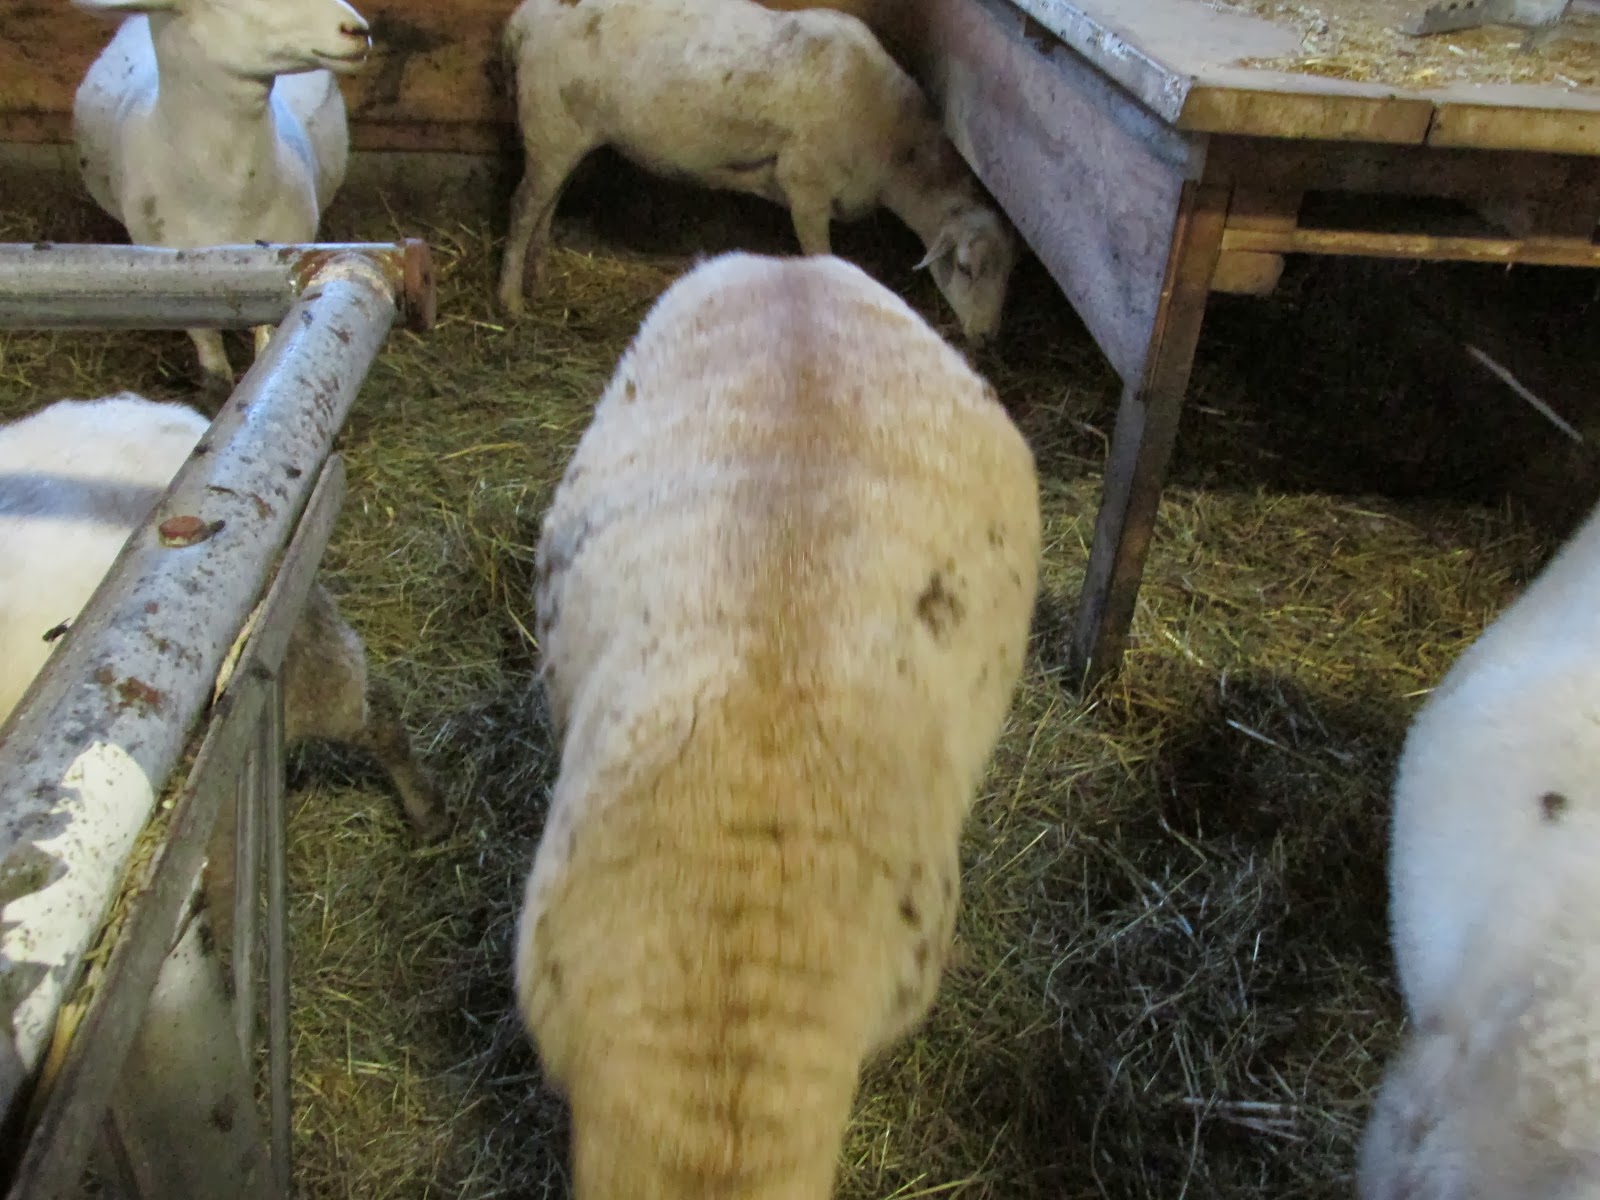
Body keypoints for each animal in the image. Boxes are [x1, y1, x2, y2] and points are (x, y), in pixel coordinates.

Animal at [496, 0, 1017, 347]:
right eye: (965, 268)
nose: (987, 336)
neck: (893, 147)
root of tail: (523, 19)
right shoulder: (806, 187)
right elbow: (821, 259)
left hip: (565, 134)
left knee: (547, 204)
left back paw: (537, 281)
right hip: (549, 124)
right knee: (522, 208)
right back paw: (509, 300)